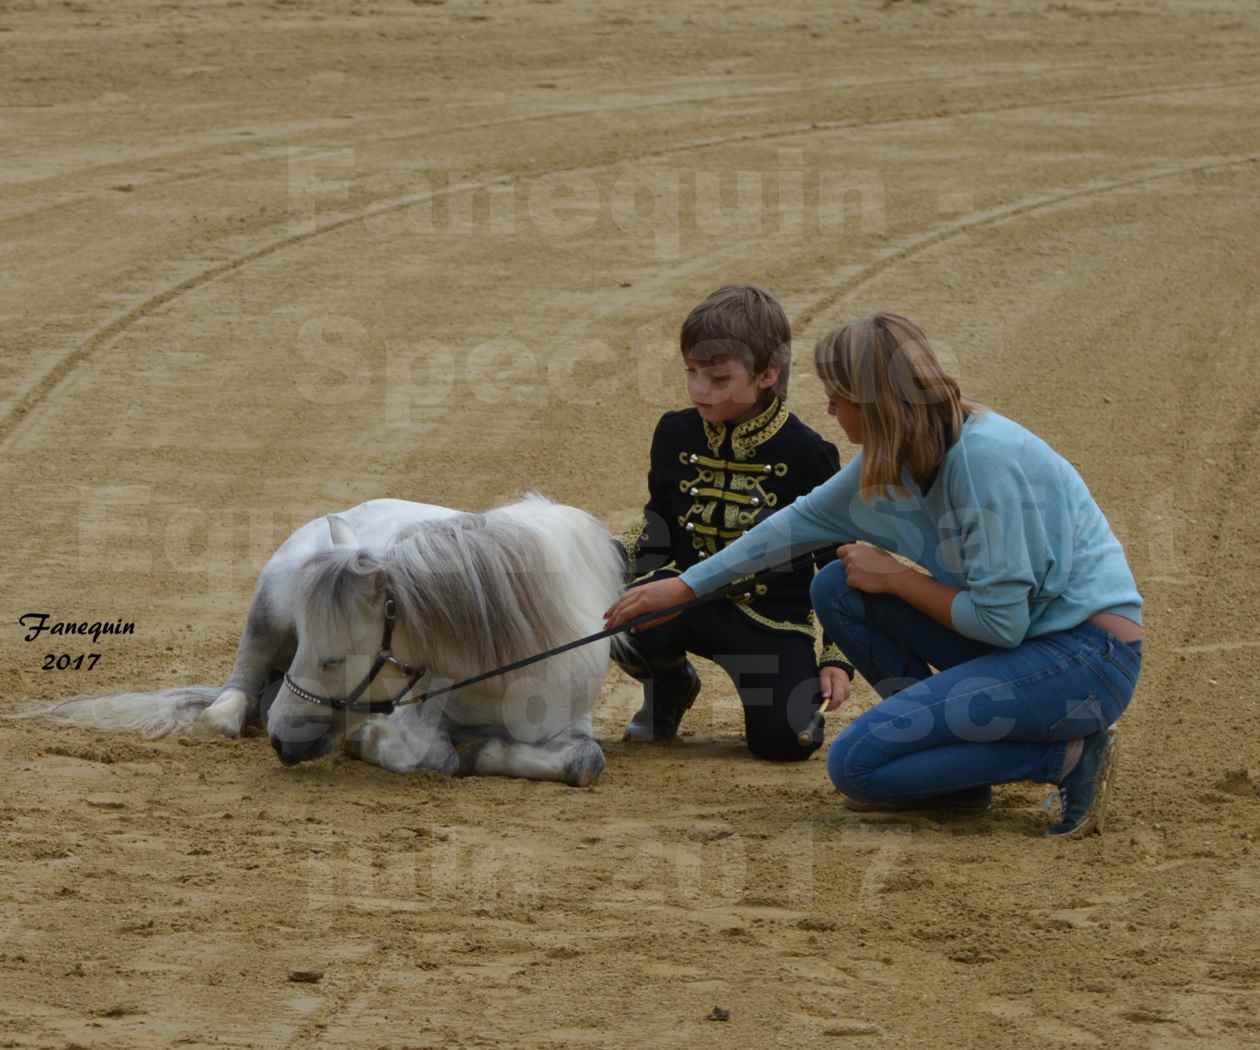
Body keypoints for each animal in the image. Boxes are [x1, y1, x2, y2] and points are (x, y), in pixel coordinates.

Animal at [22, 496, 627, 786]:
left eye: (334, 659)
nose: (279, 739)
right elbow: (428, 750)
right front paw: (379, 741)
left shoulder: (567, 726)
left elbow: (584, 762)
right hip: (268, 608)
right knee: (230, 698)